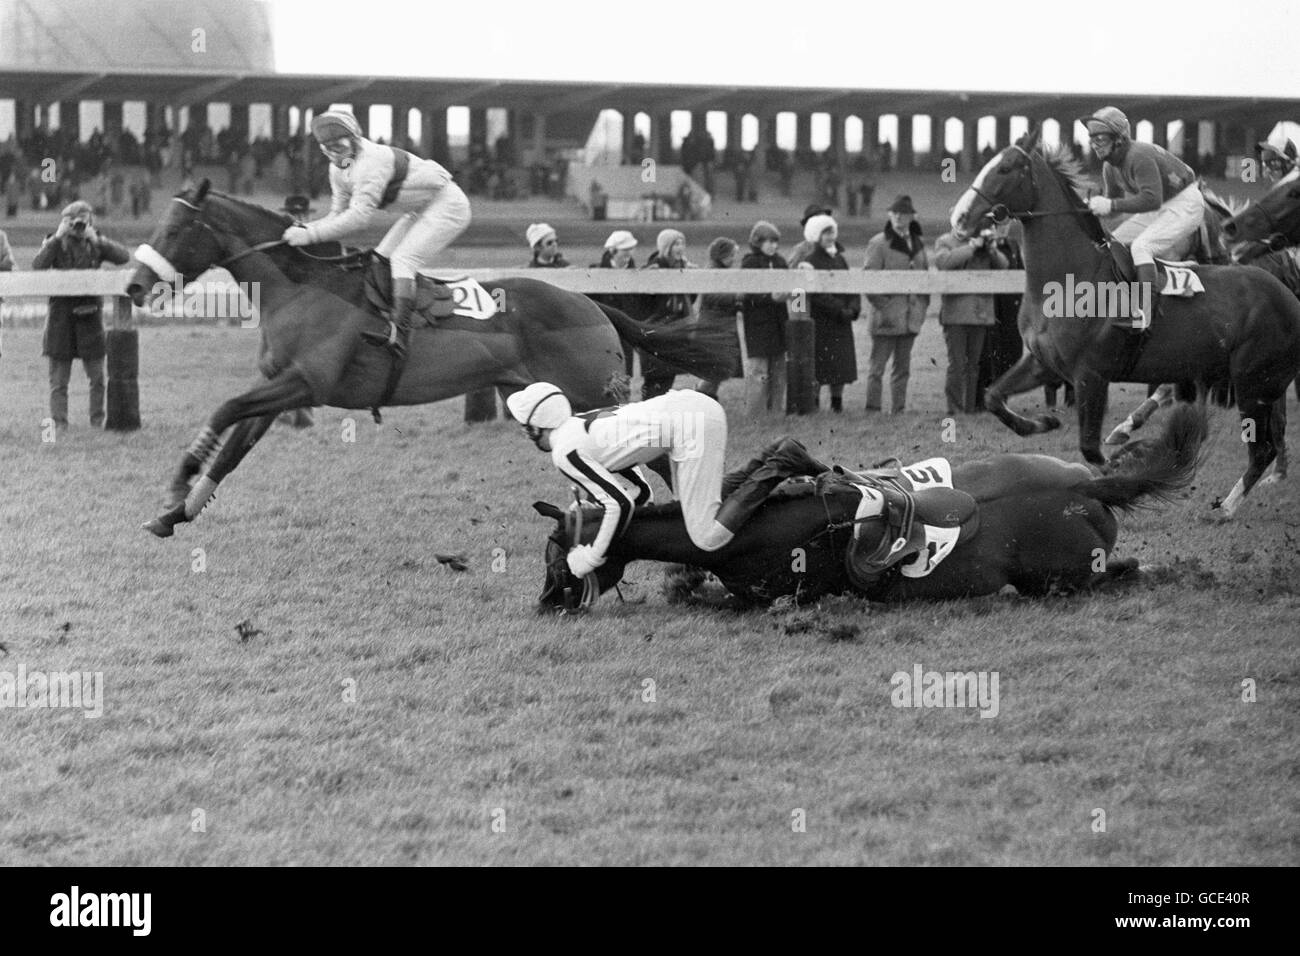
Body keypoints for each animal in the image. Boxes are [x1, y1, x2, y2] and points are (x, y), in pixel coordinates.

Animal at [129, 180, 733, 538]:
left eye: (176, 228)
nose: (134, 285)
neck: (303, 287)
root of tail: (592, 302)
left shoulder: (308, 382)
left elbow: (223, 410)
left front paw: (177, 485)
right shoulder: (281, 386)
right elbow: (234, 446)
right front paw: (175, 513)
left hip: (591, 397)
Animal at [956, 130, 1300, 520]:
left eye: (1006, 168)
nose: (961, 217)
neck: (1069, 277)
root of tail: (1289, 295)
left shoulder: (1091, 374)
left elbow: (1091, 449)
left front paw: (1128, 465)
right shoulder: (1043, 363)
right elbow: (993, 397)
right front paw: (1045, 422)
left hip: (1253, 383)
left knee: (1262, 449)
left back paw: (1225, 508)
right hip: (1260, 384)